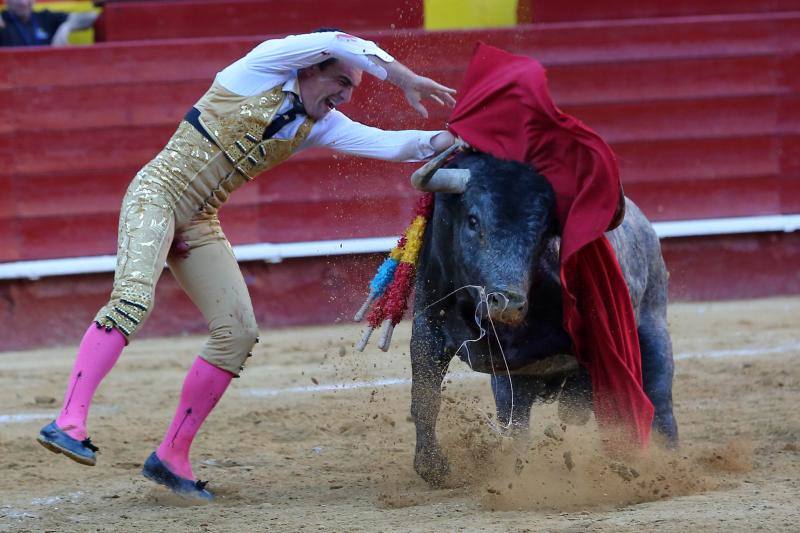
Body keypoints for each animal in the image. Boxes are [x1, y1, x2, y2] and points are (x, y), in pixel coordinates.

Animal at [410, 145, 680, 486]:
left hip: (654, 331)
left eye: (541, 231)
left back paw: (667, 460)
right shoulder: (427, 327)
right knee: (516, 419)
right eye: (472, 221)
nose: (507, 303)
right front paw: (433, 467)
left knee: (658, 398)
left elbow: (585, 396)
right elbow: (425, 397)